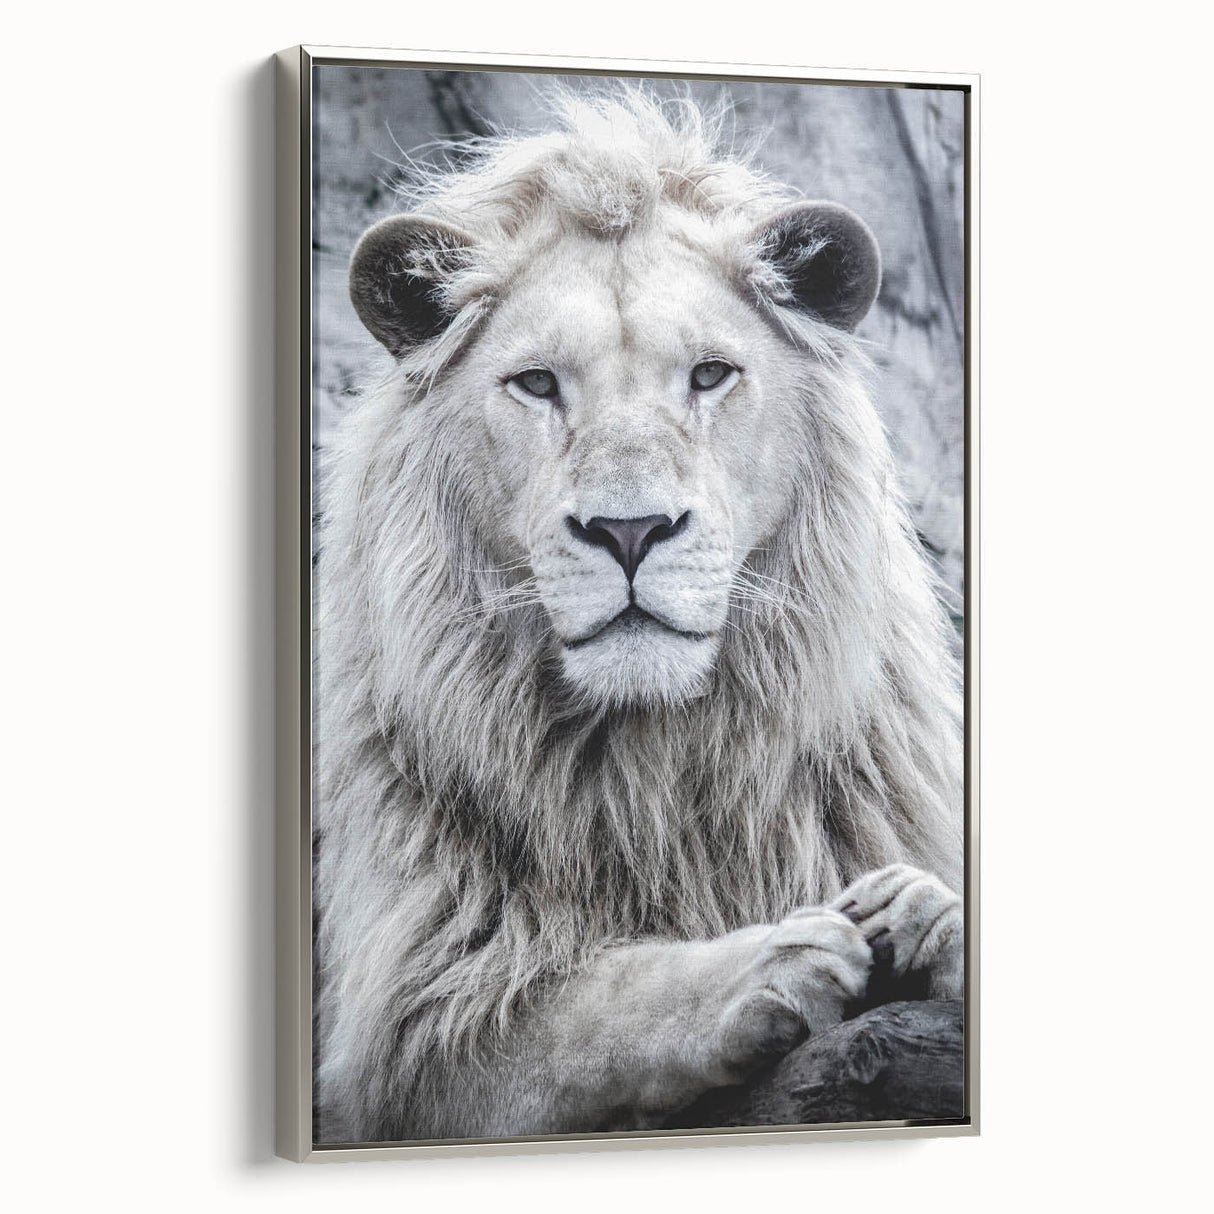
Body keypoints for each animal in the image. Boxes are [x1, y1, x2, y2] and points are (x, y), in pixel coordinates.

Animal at [314, 91, 964, 1144]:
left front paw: (926, 912)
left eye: (709, 375)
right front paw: (772, 961)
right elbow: (593, 1004)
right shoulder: (412, 1027)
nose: (629, 531)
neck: (654, 768)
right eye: (537, 383)